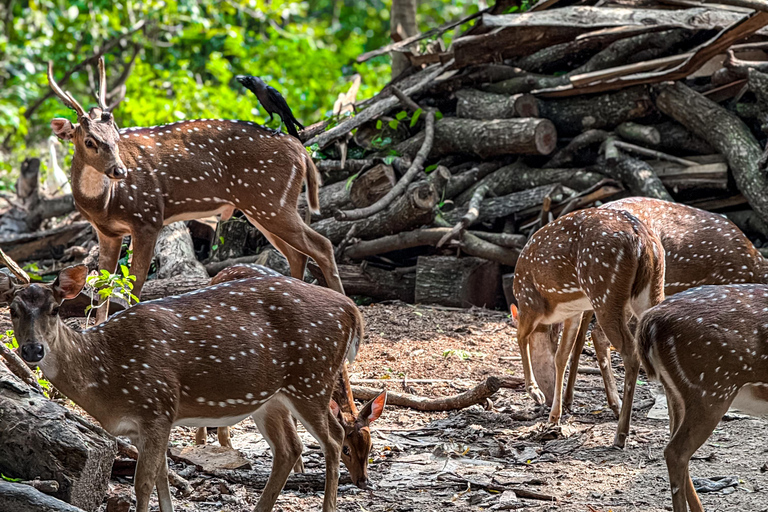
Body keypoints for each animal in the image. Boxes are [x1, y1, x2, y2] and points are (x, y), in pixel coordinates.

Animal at [0, 256, 362, 512]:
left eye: (55, 308)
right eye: (13, 309)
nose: (32, 350)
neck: (106, 377)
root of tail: (352, 309)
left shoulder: (156, 404)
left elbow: (143, 482)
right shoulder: (147, 422)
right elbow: (162, 476)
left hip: (312, 378)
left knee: (334, 438)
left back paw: (328, 507)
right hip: (273, 397)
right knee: (290, 448)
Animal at [47, 57, 342, 324]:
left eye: (116, 137)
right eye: (89, 141)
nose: (120, 171)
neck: (104, 204)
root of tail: (301, 151)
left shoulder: (148, 217)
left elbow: (135, 283)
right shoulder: (107, 232)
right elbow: (104, 286)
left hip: (270, 200)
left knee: (322, 245)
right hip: (262, 206)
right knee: (297, 254)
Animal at [195, 263, 387, 489]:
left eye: (371, 445)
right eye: (346, 449)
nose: (363, 481)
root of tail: (219, 273)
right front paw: (299, 470)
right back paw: (204, 443)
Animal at [512, 207, 666, 448]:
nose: (546, 396)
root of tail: (642, 240)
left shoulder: (529, 301)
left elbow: (521, 336)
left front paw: (535, 392)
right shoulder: (573, 312)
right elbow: (561, 358)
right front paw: (554, 416)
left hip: (604, 290)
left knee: (630, 351)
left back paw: (621, 434)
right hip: (652, 287)